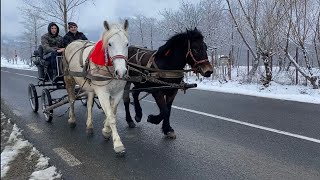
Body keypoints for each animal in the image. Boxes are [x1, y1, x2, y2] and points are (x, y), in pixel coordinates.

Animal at [62, 20, 129, 155]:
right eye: (109, 44)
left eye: (127, 44)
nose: (121, 72)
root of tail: (72, 43)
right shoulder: (103, 93)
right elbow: (111, 116)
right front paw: (118, 144)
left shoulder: (118, 92)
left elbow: (111, 112)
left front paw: (106, 131)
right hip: (69, 79)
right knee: (71, 99)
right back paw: (72, 119)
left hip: (90, 87)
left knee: (88, 105)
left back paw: (89, 126)